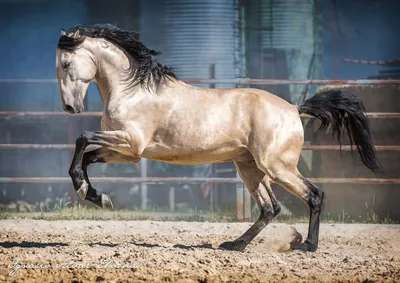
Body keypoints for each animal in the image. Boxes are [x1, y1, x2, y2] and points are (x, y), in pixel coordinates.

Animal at [54, 24, 380, 253]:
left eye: (66, 64)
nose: (70, 107)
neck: (133, 90)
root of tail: (293, 108)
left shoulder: (130, 143)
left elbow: (82, 139)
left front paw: (87, 191)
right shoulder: (126, 151)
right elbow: (87, 156)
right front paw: (95, 195)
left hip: (277, 167)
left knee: (313, 195)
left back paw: (306, 246)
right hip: (250, 168)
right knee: (270, 208)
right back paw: (235, 245)